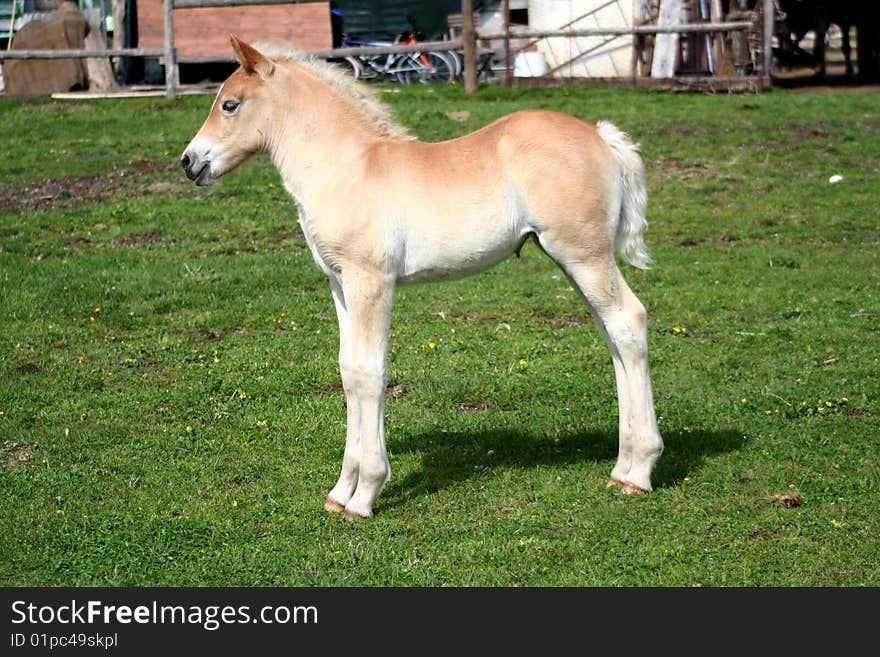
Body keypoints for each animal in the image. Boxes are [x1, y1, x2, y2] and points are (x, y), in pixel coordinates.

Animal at [180, 37, 660, 516]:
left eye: (229, 104)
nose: (189, 162)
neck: (347, 167)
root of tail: (602, 136)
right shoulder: (340, 284)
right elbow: (348, 370)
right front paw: (340, 491)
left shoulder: (372, 282)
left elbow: (370, 372)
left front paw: (365, 494)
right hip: (574, 260)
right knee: (612, 335)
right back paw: (621, 468)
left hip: (583, 254)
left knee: (628, 321)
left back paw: (639, 471)